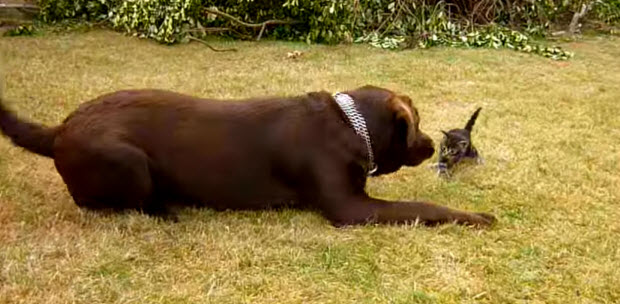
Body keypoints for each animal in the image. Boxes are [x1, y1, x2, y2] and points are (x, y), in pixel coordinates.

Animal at [0, 85, 494, 226]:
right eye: (416, 125)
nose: (430, 145)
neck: (348, 124)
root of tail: (62, 127)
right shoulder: (349, 207)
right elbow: (423, 206)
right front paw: (475, 216)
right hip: (128, 161)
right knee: (100, 203)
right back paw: (166, 210)